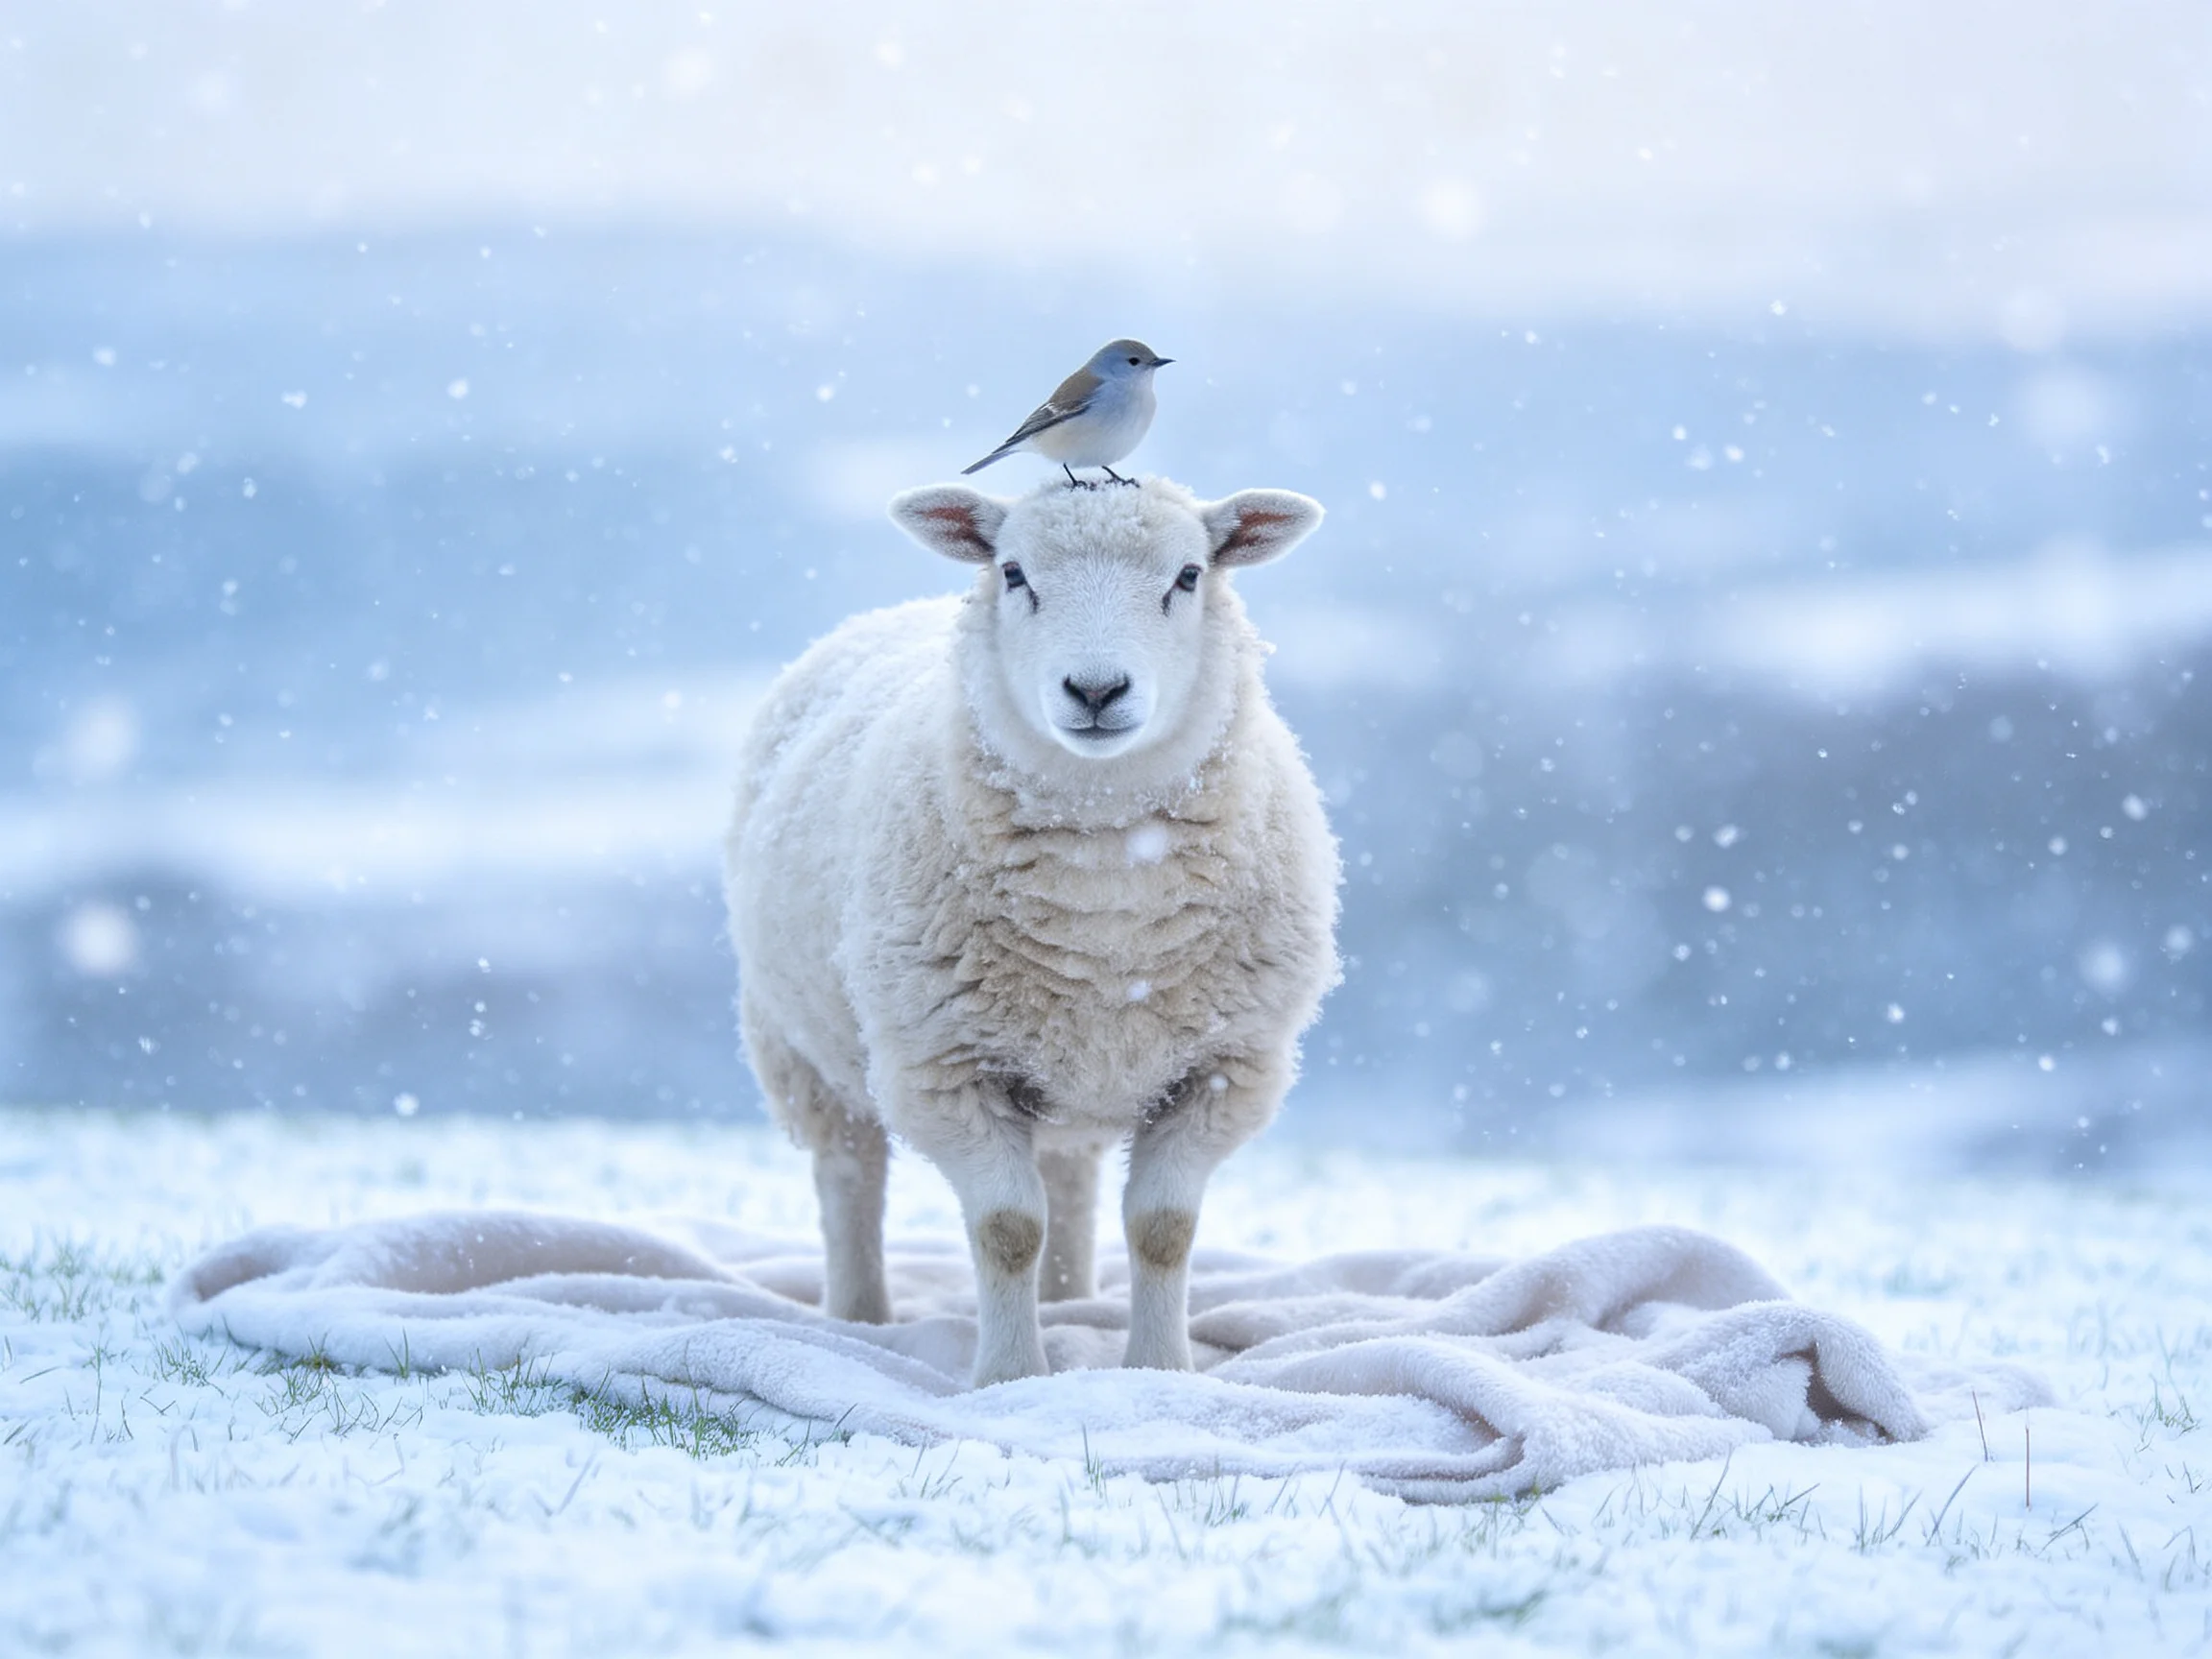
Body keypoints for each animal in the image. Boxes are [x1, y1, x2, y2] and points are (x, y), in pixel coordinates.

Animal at [723, 476, 1339, 1387]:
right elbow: (1007, 1230)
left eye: (1189, 575)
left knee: (1070, 1175)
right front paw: (1012, 1378)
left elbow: (1162, 1230)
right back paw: (861, 1317)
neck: (1108, 903)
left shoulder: (1225, 1070)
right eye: (1014, 573)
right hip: (800, 1052)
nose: (1096, 690)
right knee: (849, 1178)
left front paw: (1158, 1371)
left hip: (1074, 1072)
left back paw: (1071, 1303)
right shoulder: (945, 1069)